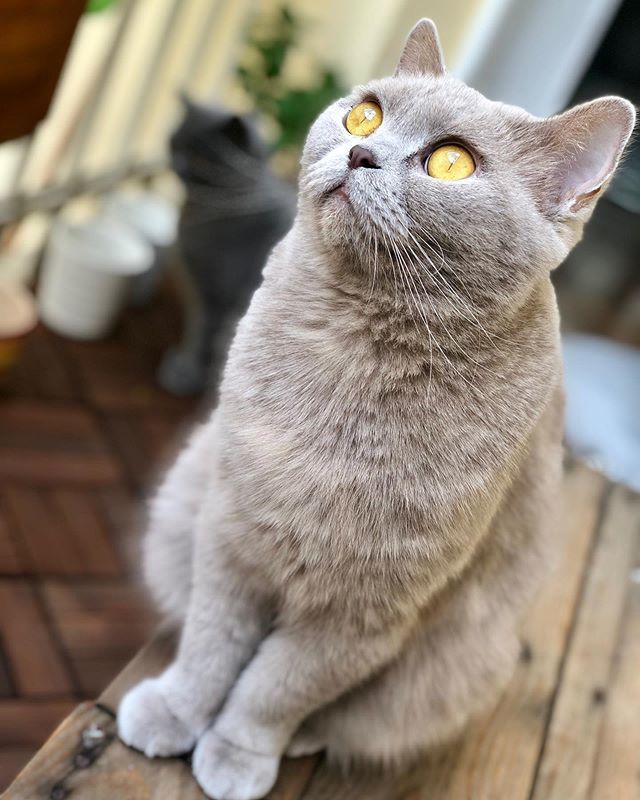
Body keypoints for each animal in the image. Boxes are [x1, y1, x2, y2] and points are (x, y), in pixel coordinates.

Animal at [116, 18, 636, 800]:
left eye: (450, 163)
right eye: (364, 115)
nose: (361, 151)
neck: (349, 363)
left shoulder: (364, 615)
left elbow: (275, 689)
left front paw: (236, 754)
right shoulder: (229, 532)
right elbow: (212, 645)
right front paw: (175, 713)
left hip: (459, 662)